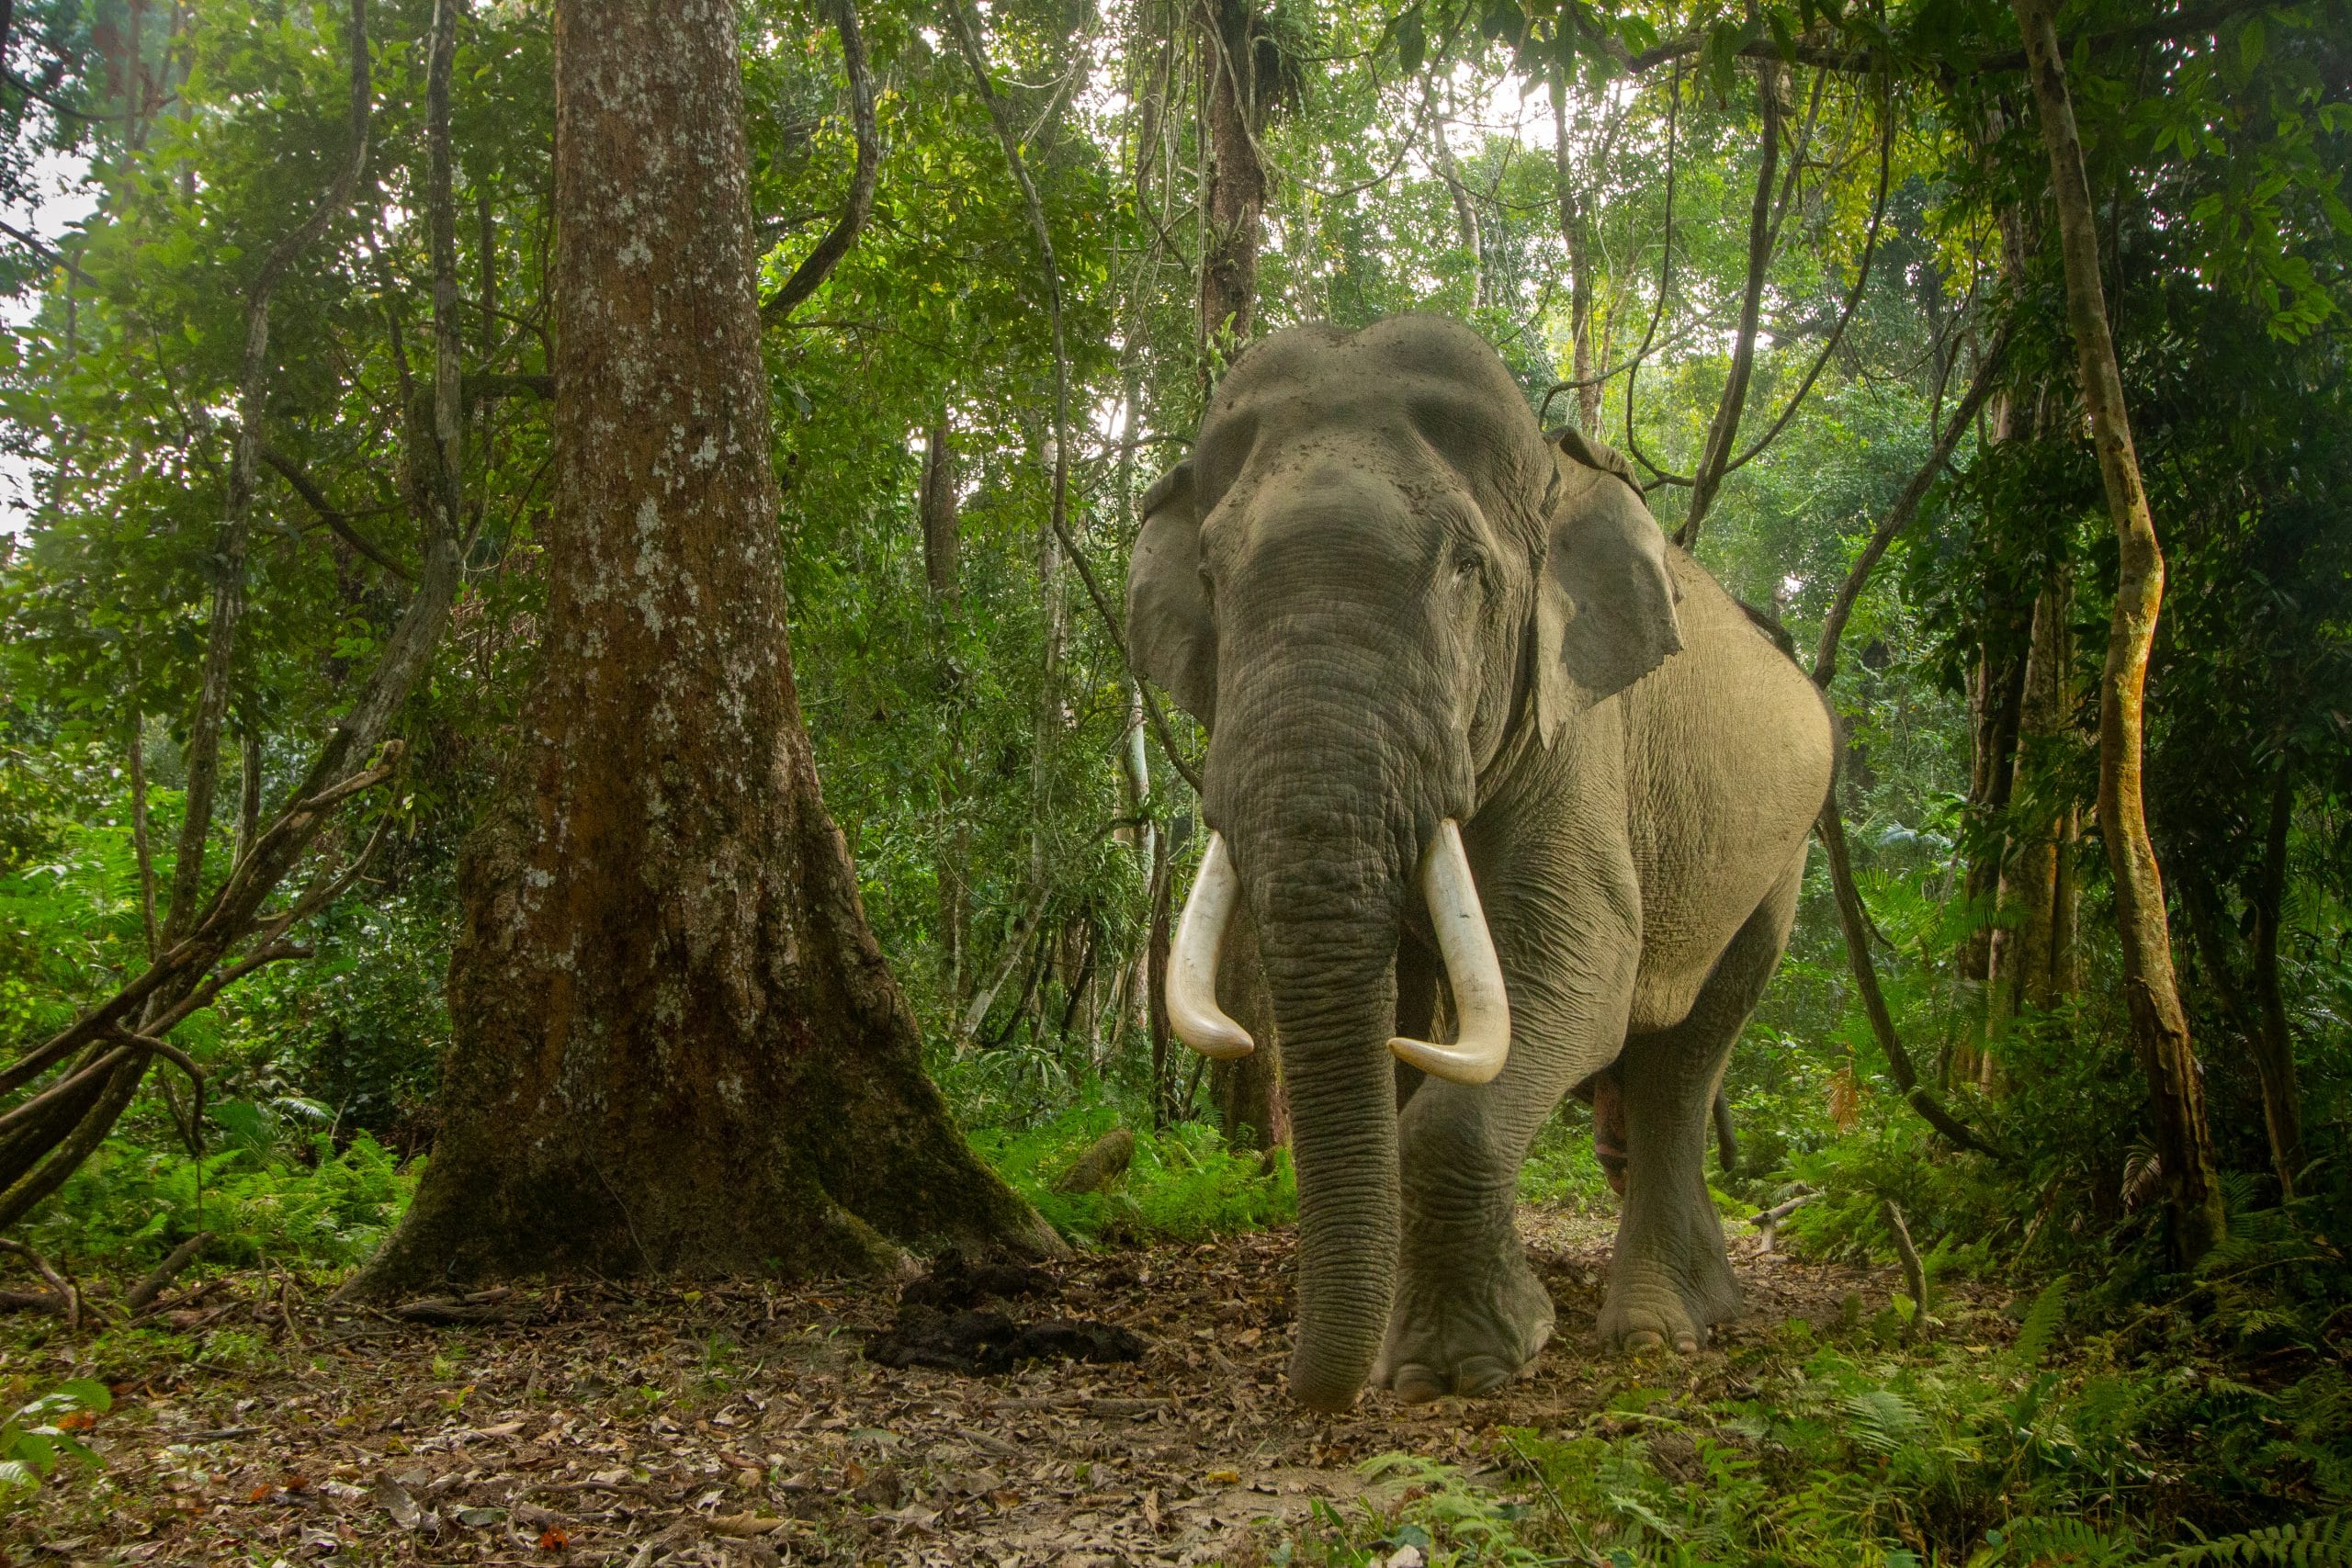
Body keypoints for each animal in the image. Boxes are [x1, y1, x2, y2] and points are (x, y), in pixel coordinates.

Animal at [1125, 315, 1833, 1411]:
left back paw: (1658, 1330)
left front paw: (1458, 1368)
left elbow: (1579, 971)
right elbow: (1412, 1023)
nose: (1304, 1391)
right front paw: (1423, 1348)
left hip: (1781, 859)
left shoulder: (1578, 734)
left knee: (1687, 1054)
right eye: (1209, 576)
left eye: (1466, 569)